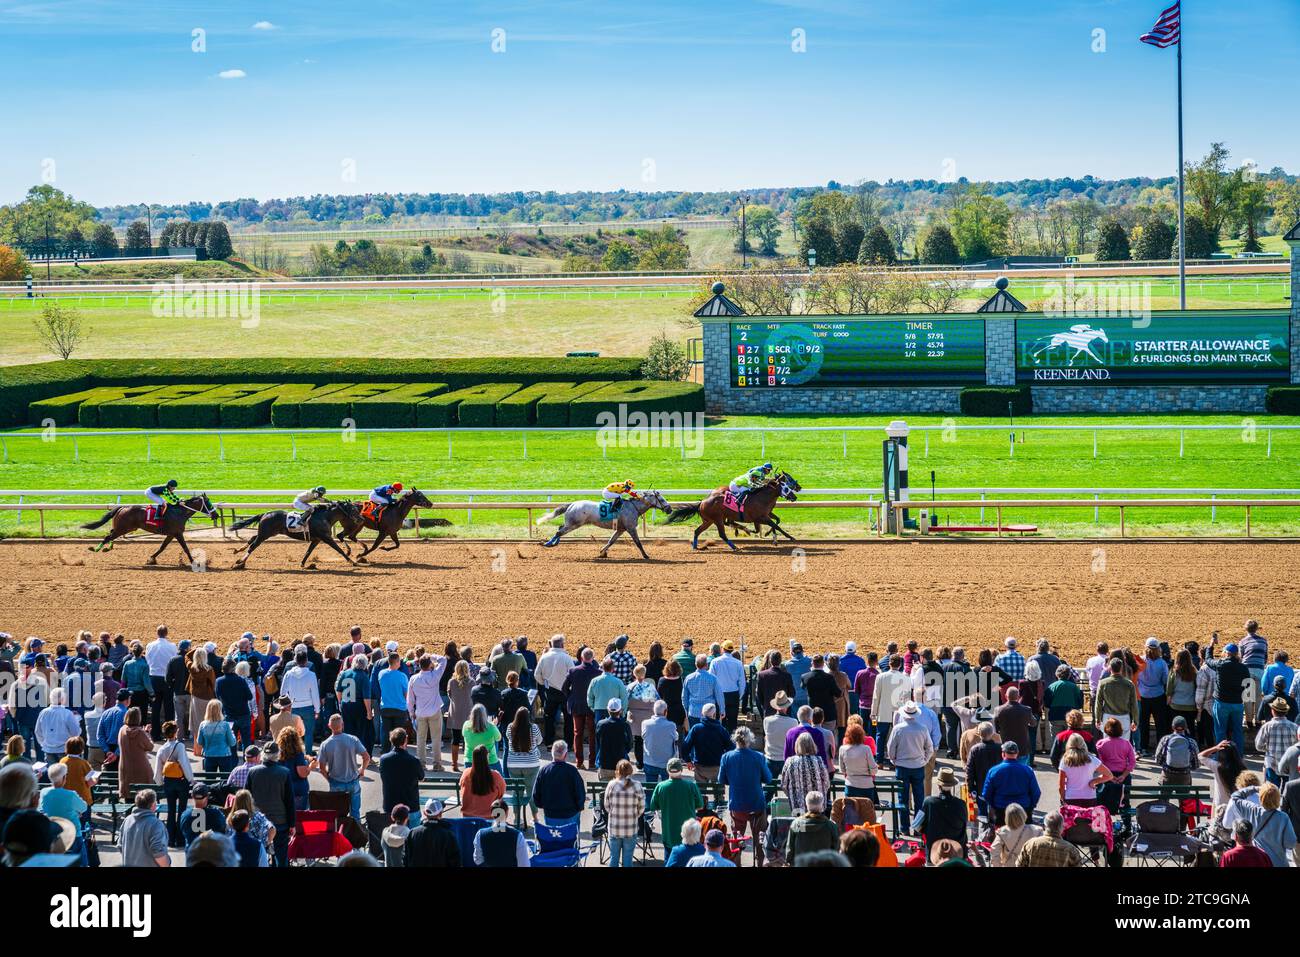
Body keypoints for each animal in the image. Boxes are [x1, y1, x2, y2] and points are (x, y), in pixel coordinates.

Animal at [82, 496, 218, 564]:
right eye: (209, 503)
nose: (216, 515)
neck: (180, 512)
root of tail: (122, 507)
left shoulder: (171, 534)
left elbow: (162, 547)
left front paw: (151, 558)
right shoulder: (177, 533)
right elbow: (185, 548)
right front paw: (194, 561)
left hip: (125, 528)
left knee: (110, 534)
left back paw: (107, 548)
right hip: (123, 528)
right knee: (108, 536)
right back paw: (95, 549)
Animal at [226, 501, 364, 566]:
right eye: (353, 509)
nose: (362, 519)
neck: (324, 517)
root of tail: (265, 514)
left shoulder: (317, 539)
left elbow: (308, 551)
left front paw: (302, 563)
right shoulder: (326, 538)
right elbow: (339, 549)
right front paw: (352, 561)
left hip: (267, 533)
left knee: (252, 538)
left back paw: (237, 550)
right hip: (265, 534)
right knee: (253, 545)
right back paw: (240, 561)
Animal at [538, 488, 676, 556]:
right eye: (662, 499)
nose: (669, 509)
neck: (633, 507)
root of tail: (572, 504)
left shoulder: (621, 529)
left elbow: (611, 541)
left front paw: (602, 552)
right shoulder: (631, 528)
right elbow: (638, 543)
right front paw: (646, 555)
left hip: (571, 523)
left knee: (560, 528)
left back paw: (554, 543)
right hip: (574, 523)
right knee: (559, 531)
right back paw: (548, 544)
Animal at [665, 468, 795, 548]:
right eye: (787, 487)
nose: (795, 496)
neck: (761, 497)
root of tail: (702, 502)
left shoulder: (763, 517)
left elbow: (773, 524)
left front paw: (772, 538)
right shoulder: (760, 518)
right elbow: (775, 525)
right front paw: (790, 537)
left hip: (709, 520)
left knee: (697, 531)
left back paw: (695, 546)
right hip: (717, 519)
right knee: (722, 533)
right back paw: (734, 546)